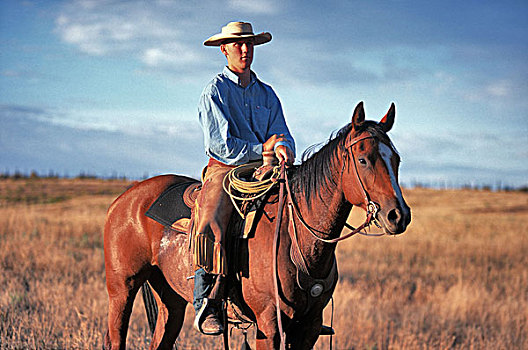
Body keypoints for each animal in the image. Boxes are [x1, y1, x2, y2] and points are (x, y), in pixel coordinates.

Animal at [101, 100, 410, 348]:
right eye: (364, 159)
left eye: (396, 159)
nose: (398, 215)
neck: (296, 239)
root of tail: (124, 199)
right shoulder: (269, 323)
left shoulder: (309, 326)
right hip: (121, 291)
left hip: (170, 300)